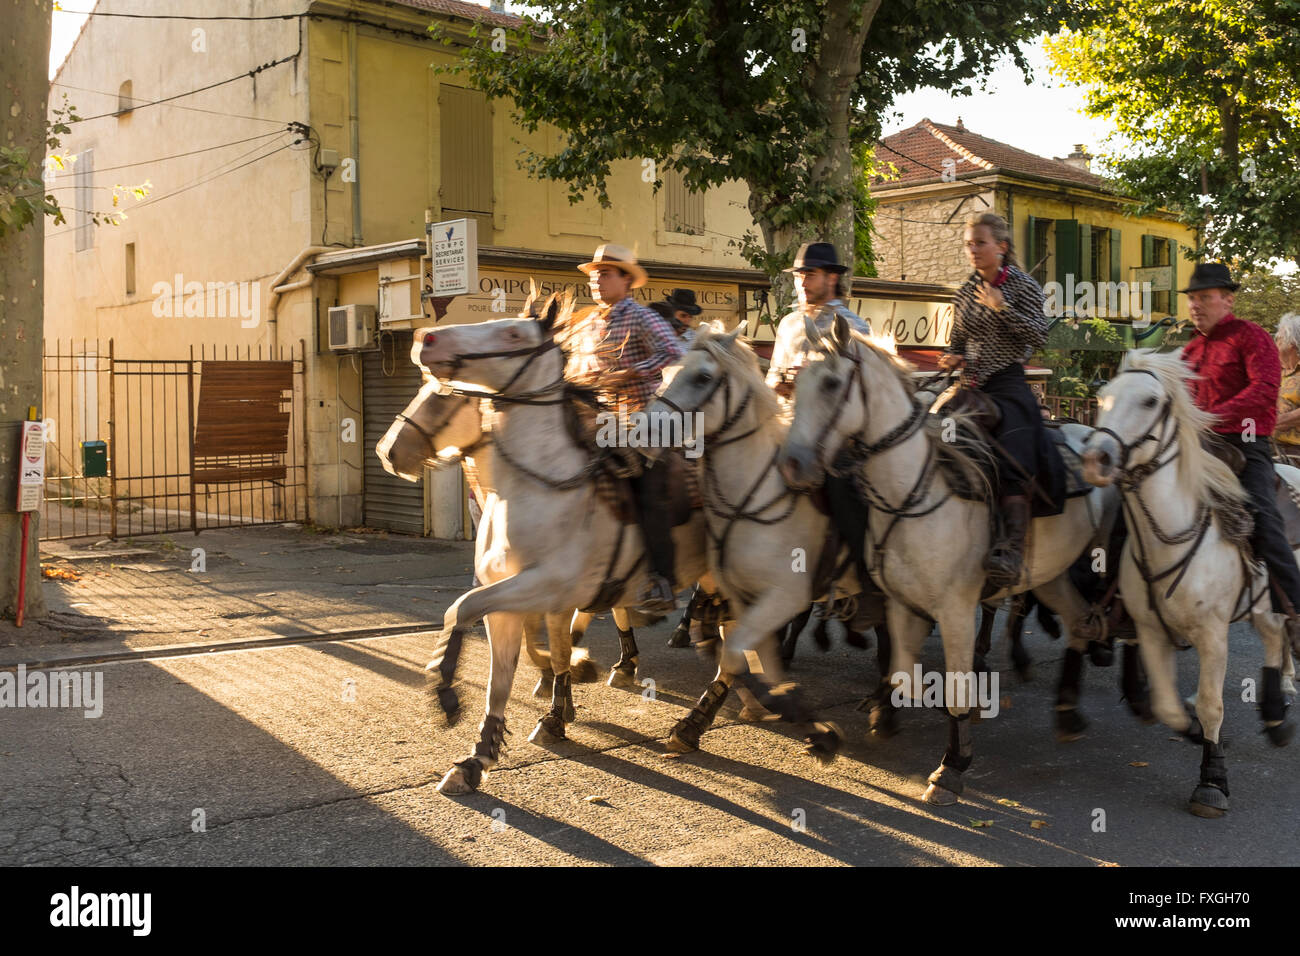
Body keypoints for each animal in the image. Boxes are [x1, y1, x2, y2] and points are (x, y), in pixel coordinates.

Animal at [774, 314, 1123, 806]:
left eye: (830, 383)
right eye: (795, 380)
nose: (791, 465)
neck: (913, 493)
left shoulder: (956, 610)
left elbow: (954, 686)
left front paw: (951, 766)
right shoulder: (902, 605)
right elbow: (902, 672)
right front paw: (886, 716)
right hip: (1052, 575)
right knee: (1077, 623)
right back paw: (1068, 712)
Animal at [1081, 348, 1294, 816]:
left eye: (1149, 401)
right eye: (1102, 397)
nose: (1095, 460)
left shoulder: (1214, 635)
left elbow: (1213, 706)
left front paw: (1212, 782)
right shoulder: (1149, 630)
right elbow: (1167, 706)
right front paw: (1191, 727)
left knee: (1281, 637)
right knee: (1275, 639)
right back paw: (1274, 714)